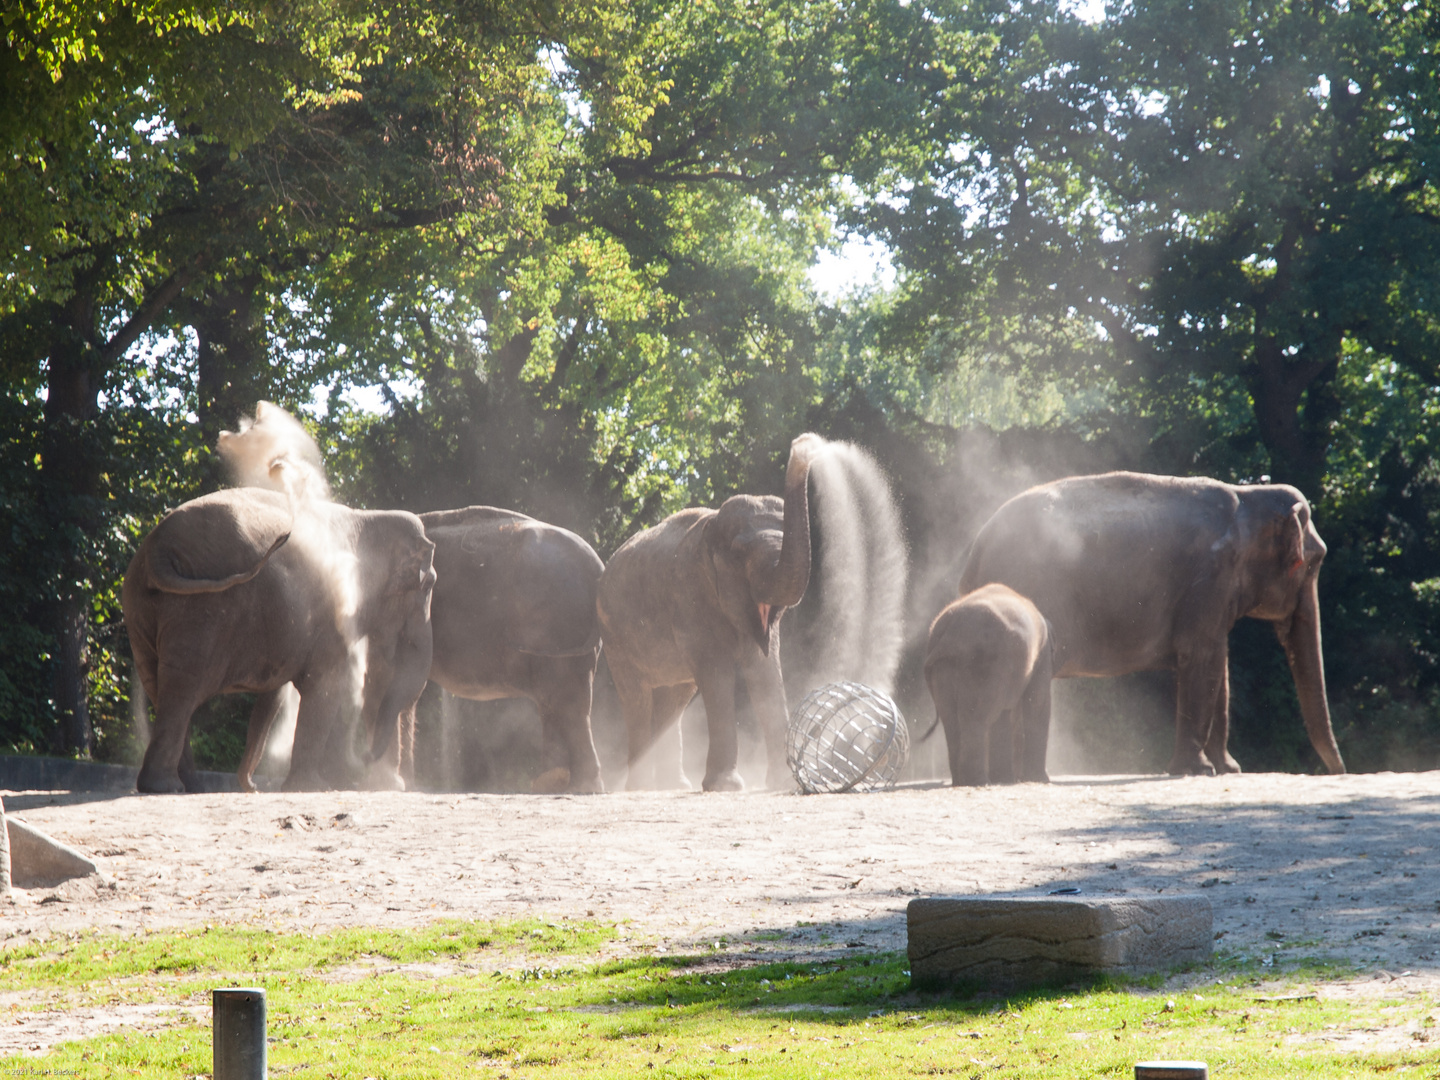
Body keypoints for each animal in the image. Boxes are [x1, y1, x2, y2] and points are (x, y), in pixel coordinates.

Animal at [124, 489, 434, 794]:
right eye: (429, 584)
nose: (365, 759)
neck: (369, 517)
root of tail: (158, 550)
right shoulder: (336, 614)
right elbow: (326, 686)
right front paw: (310, 787)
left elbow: (283, 692)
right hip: (201, 612)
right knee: (182, 691)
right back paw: (167, 786)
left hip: (140, 609)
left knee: (159, 686)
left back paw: (186, 786)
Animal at [596, 434, 823, 794]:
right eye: (740, 552)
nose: (805, 442)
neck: (711, 525)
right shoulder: (689, 595)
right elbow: (717, 677)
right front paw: (726, 786)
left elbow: (766, 674)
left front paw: (784, 782)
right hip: (614, 635)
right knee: (637, 698)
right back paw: (641, 786)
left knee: (676, 696)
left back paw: (673, 785)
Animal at [921, 584, 1059, 789]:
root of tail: (951, 631)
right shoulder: (1041, 656)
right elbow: (1037, 702)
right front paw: (1039, 780)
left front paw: (1006, 779)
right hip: (982, 663)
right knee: (976, 717)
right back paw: (979, 782)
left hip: (943, 668)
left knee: (952, 720)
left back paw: (963, 782)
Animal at [956, 472, 1347, 777]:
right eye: (1312, 562)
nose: (1339, 772)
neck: (1247, 496)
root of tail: (976, 548)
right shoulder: (1208, 580)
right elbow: (1202, 657)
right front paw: (1196, 771)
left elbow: (1218, 666)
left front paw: (1229, 770)